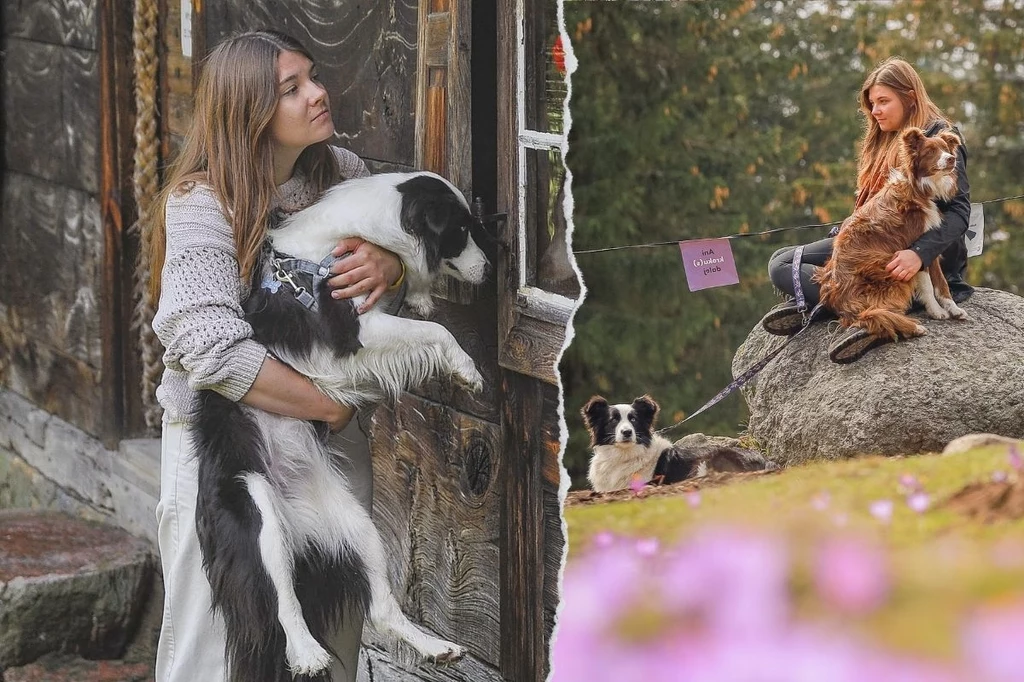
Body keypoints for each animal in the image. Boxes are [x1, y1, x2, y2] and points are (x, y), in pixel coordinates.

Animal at [197, 171, 489, 679]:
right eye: (460, 230)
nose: (490, 270)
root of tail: (297, 522)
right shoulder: (359, 329)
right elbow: (438, 332)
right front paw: (467, 371)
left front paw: (420, 299)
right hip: (257, 513)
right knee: (282, 601)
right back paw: (308, 655)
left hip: (359, 526)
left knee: (382, 609)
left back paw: (437, 648)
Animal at [815, 125, 966, 337]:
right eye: (930, 152)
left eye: (946, 148)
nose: (951, 159)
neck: (917, 188)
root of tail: (844, 305)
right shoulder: (912, 250)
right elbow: (928, 285)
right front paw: (936, 312)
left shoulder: (928, 247)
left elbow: (941, 283)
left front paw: (954, 309)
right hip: (889, 269)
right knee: (877, 313)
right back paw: (913, 327)